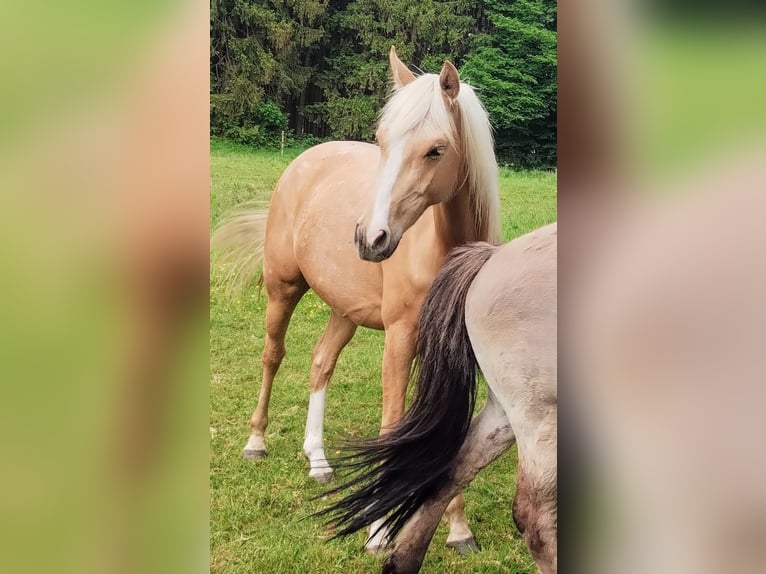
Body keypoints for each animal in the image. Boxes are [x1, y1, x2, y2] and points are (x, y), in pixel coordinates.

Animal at [214, 46, 504, 552]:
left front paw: (458, 529)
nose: (371, 238)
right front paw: (379, 530)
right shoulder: (401, 339)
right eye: (381, 140)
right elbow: (391, 422)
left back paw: (317, 459)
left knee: (320, 362)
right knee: (273, 355)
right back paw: (256, 442)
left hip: (343, 310)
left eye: (436, 150)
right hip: (283, 289)